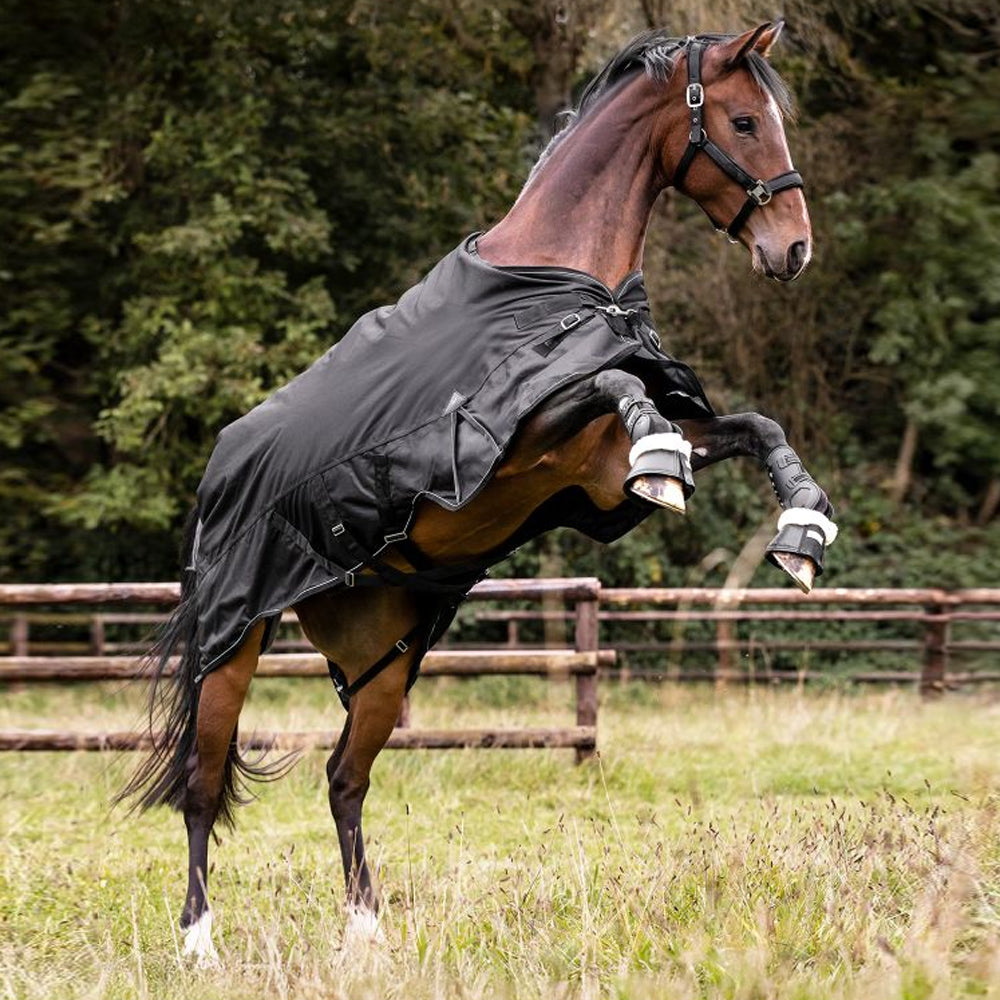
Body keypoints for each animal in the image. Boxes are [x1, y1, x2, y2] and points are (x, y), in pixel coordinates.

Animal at [121, 22, 837, 960]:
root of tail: (218, 473)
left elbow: (757, 426)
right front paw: (667, 463)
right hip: (231, 644)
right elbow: (616, 385)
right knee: (204, 783)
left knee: (343, 779)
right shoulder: (516, 434)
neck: (556, 285)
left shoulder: (597, 477)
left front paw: (802, 531)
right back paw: (199, 941)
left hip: (385, 662)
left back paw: (367, 932)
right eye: (746, 121)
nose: (793, 250)